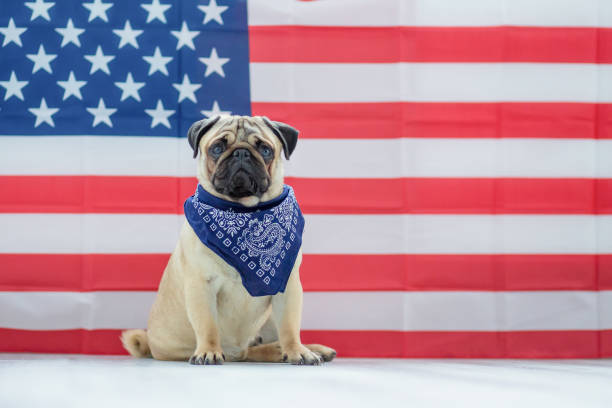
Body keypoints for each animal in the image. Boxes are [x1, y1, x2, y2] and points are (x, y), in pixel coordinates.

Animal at [121, 115, 338, 366]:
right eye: (217, 148)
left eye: (265, 150)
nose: (241, 153)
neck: (243, 210)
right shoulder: (201, 285)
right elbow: (207, 326)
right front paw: (208, 351)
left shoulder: (289, 286)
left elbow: (290, 327)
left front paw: (296, 351)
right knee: (248, 352)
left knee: (261, 345)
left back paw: (308, 349)